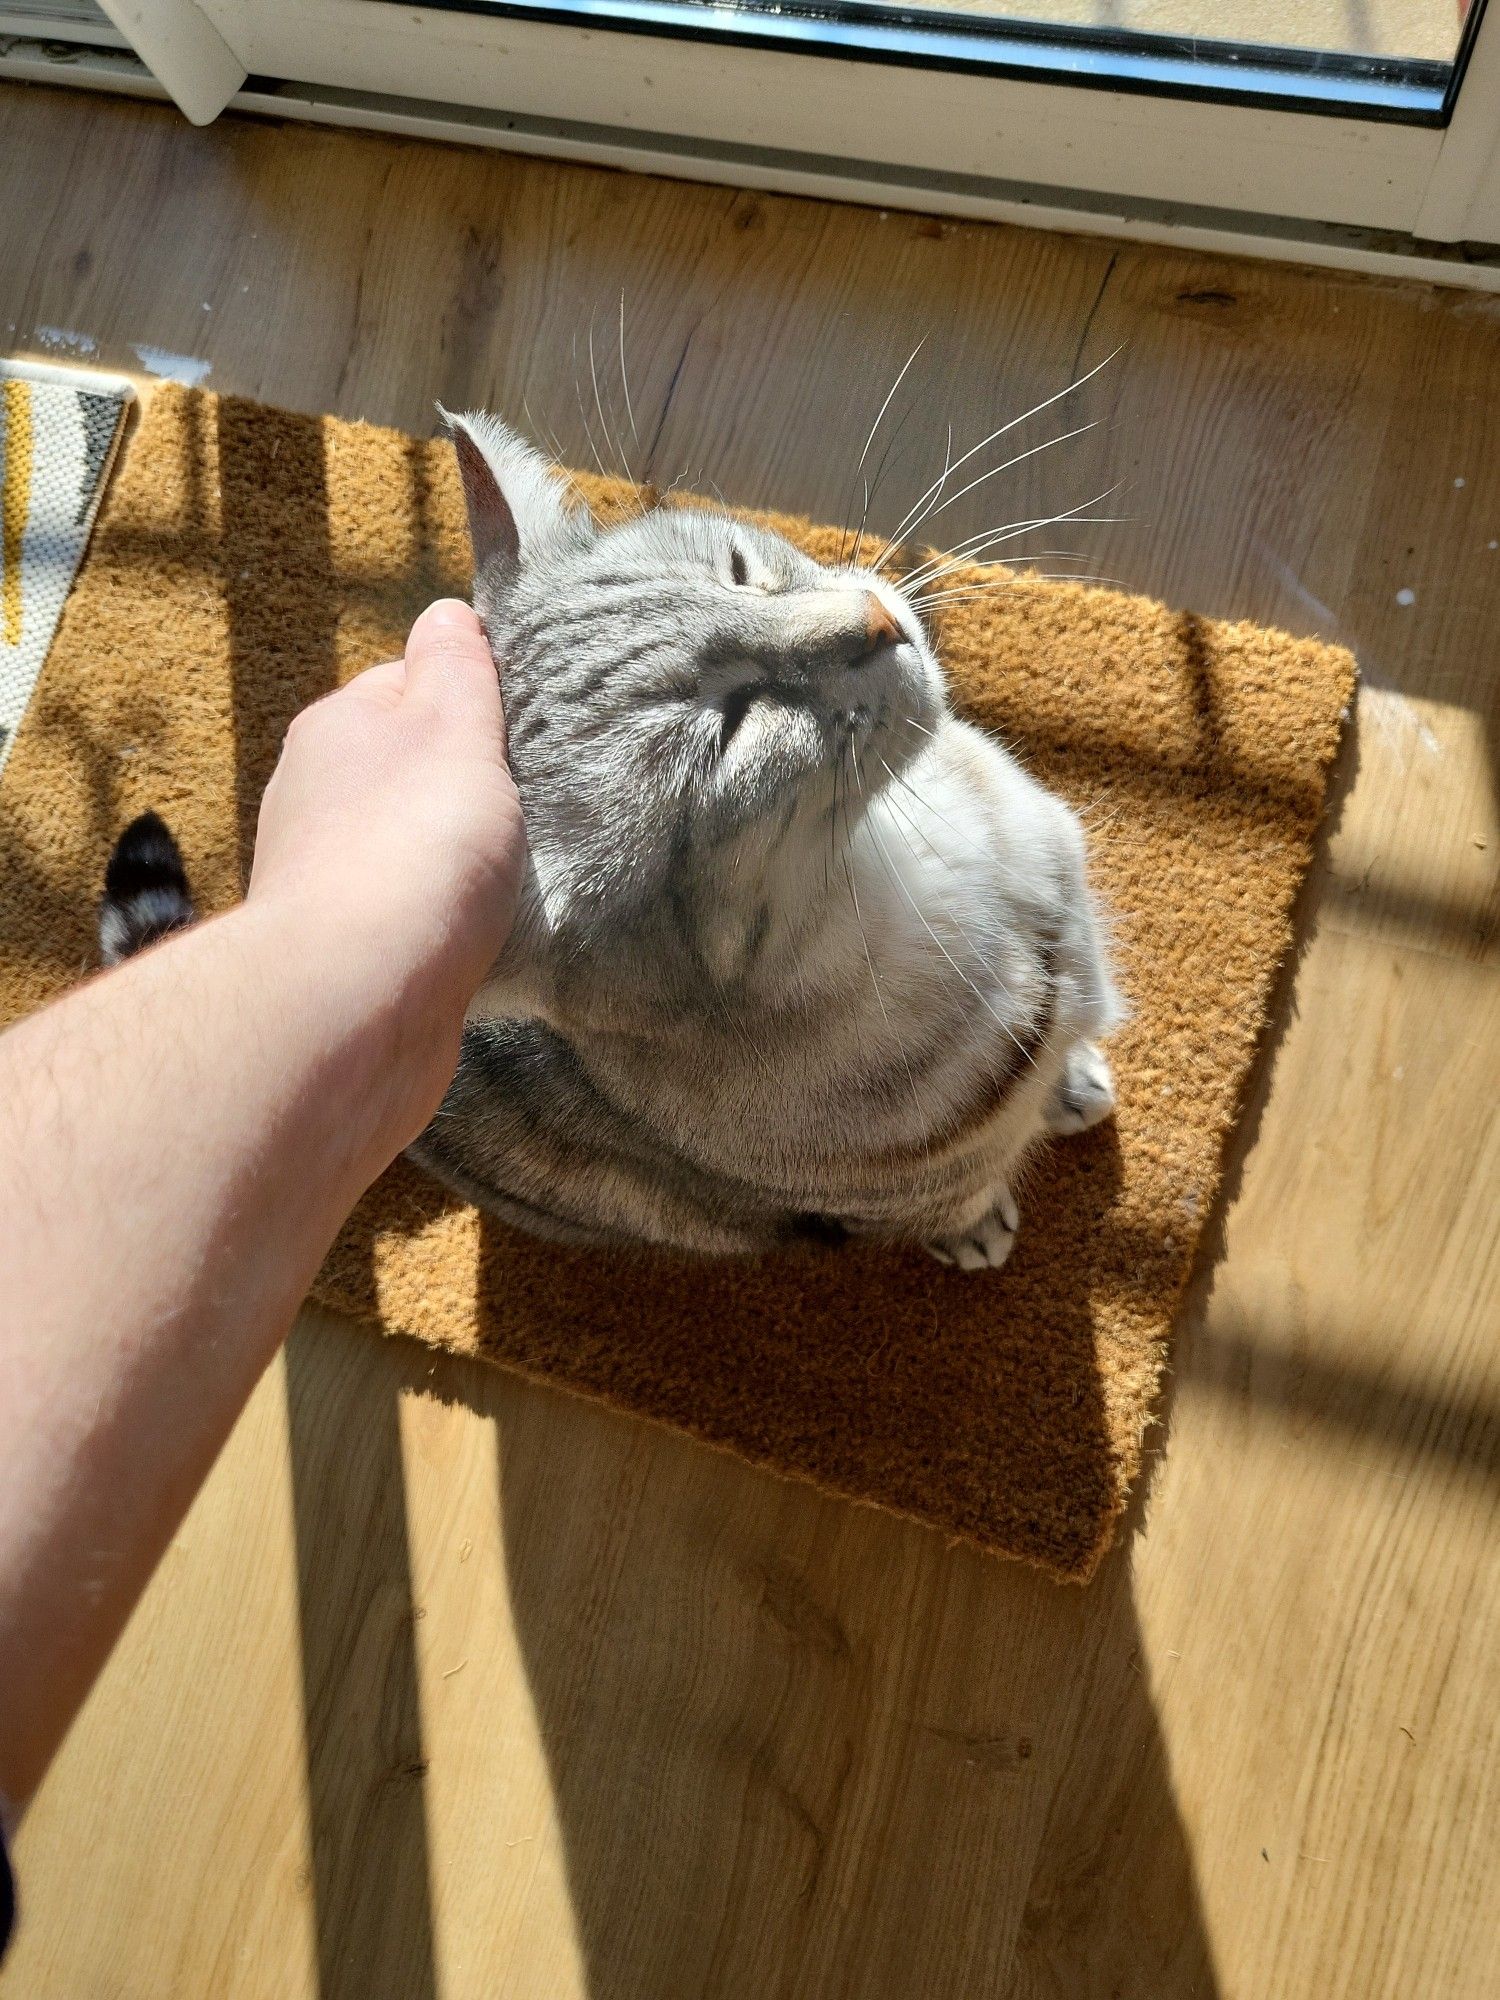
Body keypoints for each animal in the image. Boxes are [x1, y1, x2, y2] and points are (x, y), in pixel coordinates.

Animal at [100, 414, 1120, 1272]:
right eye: (731, 731)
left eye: (738, 568)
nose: (875, 623)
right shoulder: (897, 1190)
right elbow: (957, 1196)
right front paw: (981, 1224)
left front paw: (1072, 1081)